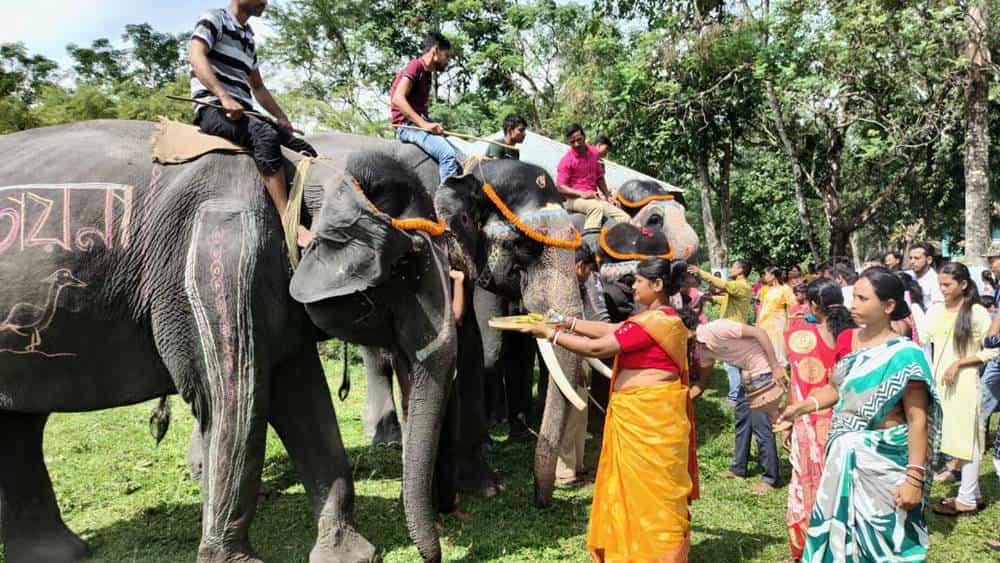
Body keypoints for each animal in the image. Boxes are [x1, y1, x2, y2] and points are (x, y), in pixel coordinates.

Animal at [0, 120, 465, 563]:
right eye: (405, 267)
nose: (436, 549)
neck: (301, 169)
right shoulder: (217, 256)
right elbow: (234, 398)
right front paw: (238, 561)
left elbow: (305, 400)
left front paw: (351, 555)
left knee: (20, 428)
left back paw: (61, 554)